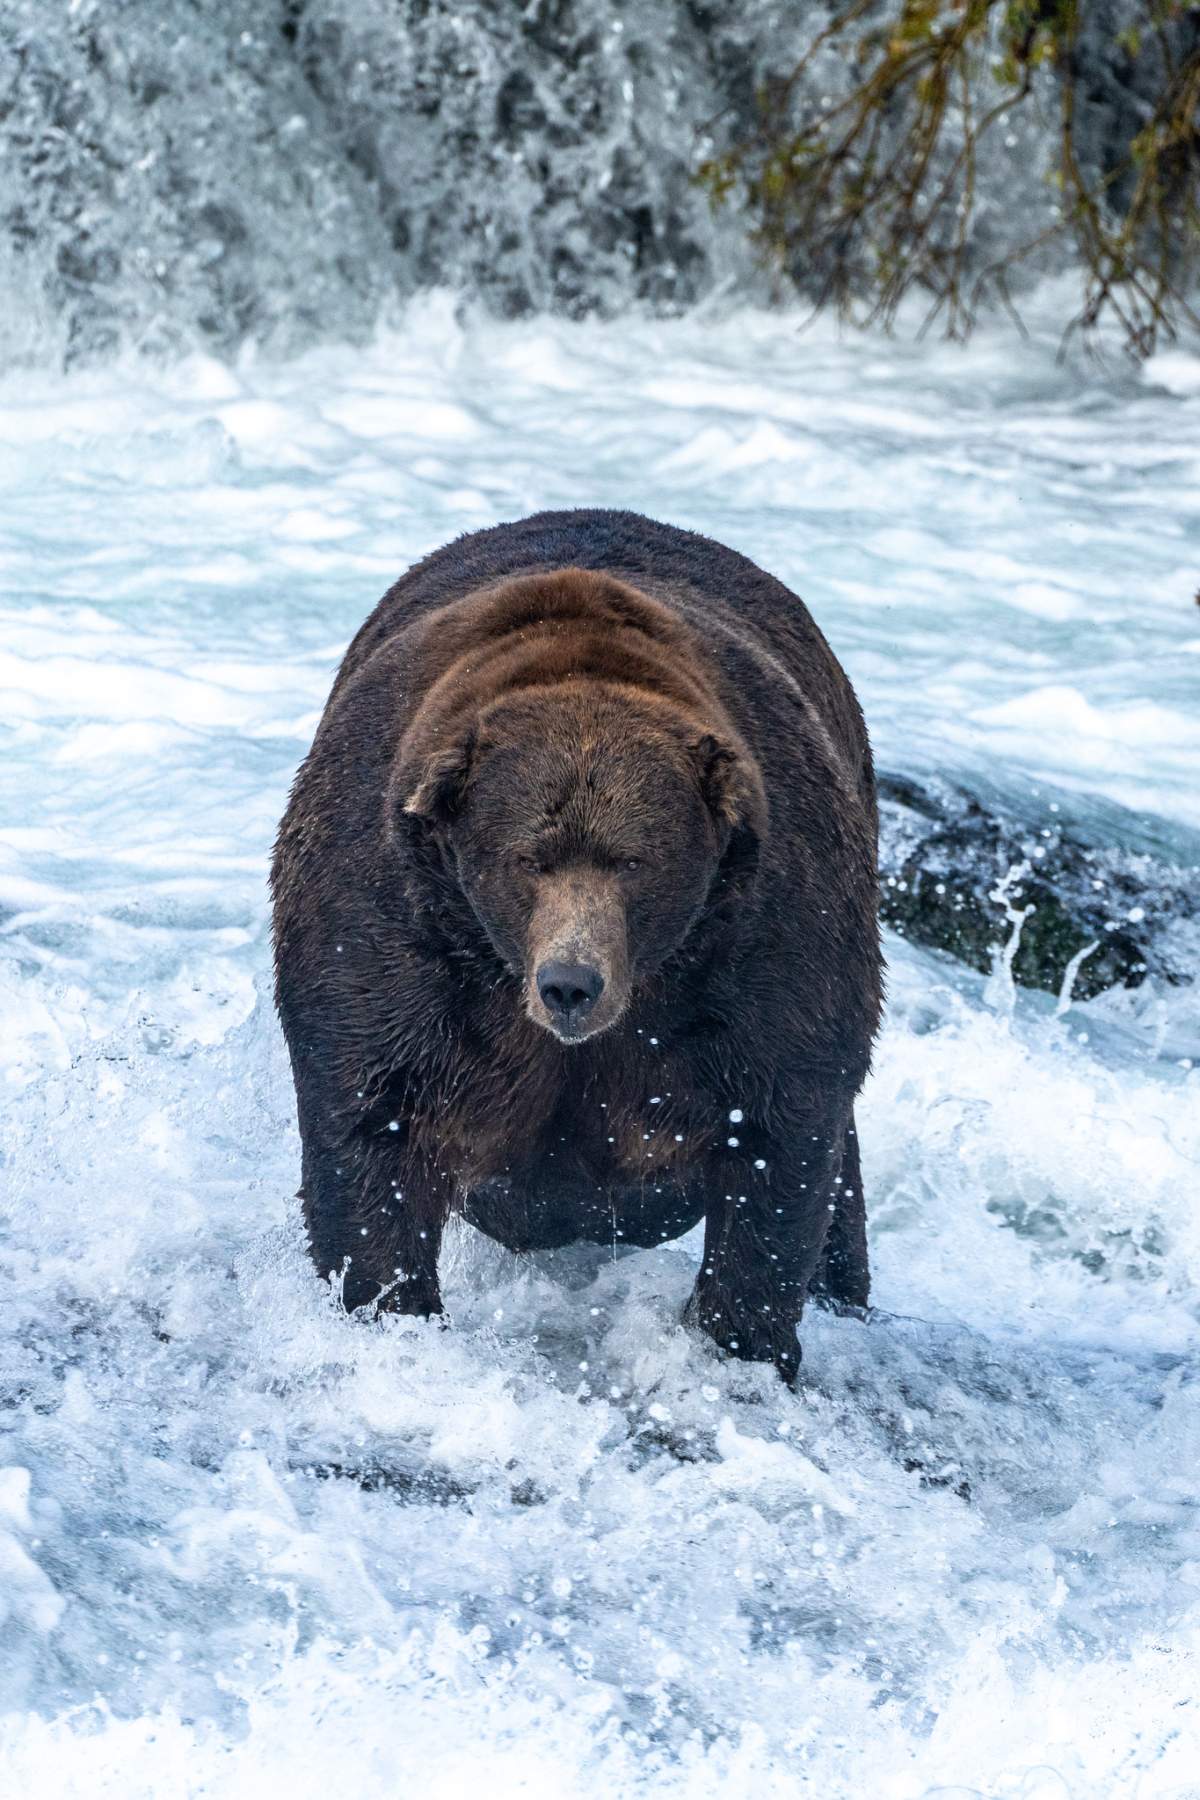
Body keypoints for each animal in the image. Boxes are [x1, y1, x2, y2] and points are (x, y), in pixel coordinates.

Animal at [272, 509, 882, 1382]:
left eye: (633, 860)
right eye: (528, 858)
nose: (570, 983)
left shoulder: (767, 933)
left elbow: (779, 1136)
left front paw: (743, 1340)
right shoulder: (393, 920)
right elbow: (372, 1119)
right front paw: (391, 1304)